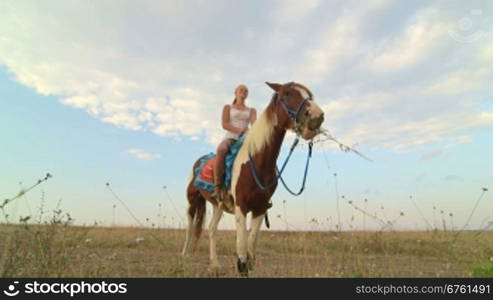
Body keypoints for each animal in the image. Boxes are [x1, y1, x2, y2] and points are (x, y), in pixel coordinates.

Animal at [181, 81, 322, 276]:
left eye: (309, 95)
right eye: (287, 93)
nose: (317, 117)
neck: (257, 161)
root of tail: (198, 162)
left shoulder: (260, 208)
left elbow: (251, 244)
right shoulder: (241, 206)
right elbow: (241, 246)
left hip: (218, 205)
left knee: (211, 229)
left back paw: (215, 265)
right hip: (192, 201)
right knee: (189, 227)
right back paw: (185, 255)